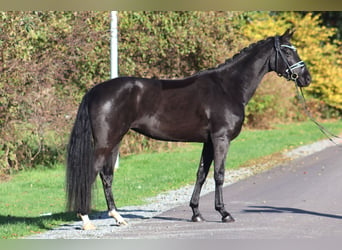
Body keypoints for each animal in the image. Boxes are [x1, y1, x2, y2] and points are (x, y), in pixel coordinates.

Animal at [65, 29, 312, 230]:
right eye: (288, 52)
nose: (306, 78)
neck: (227, 87)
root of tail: (95, 91)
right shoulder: (221, 139)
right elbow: (219, 174)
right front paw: (224, 213)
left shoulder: (208, 142)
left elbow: (201, 174)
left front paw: (196, 213)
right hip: (106, 142)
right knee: (92, 172)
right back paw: (85, 219)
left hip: (115, 140)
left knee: (106, 176)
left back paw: (117, 217)